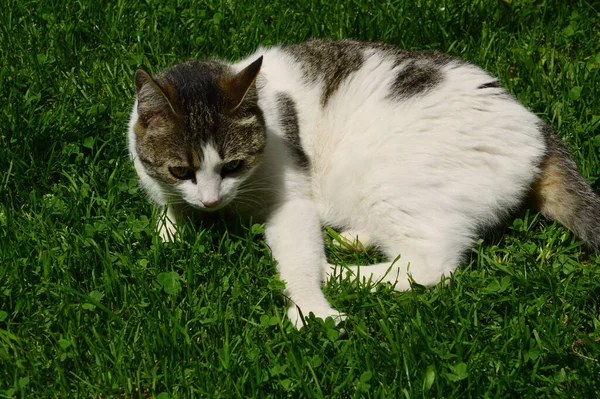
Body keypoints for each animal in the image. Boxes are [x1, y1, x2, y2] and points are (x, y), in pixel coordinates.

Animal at [127, 39, 600, 330]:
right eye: (180, 171)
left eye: (233, 165)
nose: (210, 201)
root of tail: (538, 129)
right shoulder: (161, 185)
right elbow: (168, 213)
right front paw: (170, 231)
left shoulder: (291, 202)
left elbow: (297, 259)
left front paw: (311, 308)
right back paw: (351, 239)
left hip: (388, 181)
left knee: (430, 265)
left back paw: (337, 271)